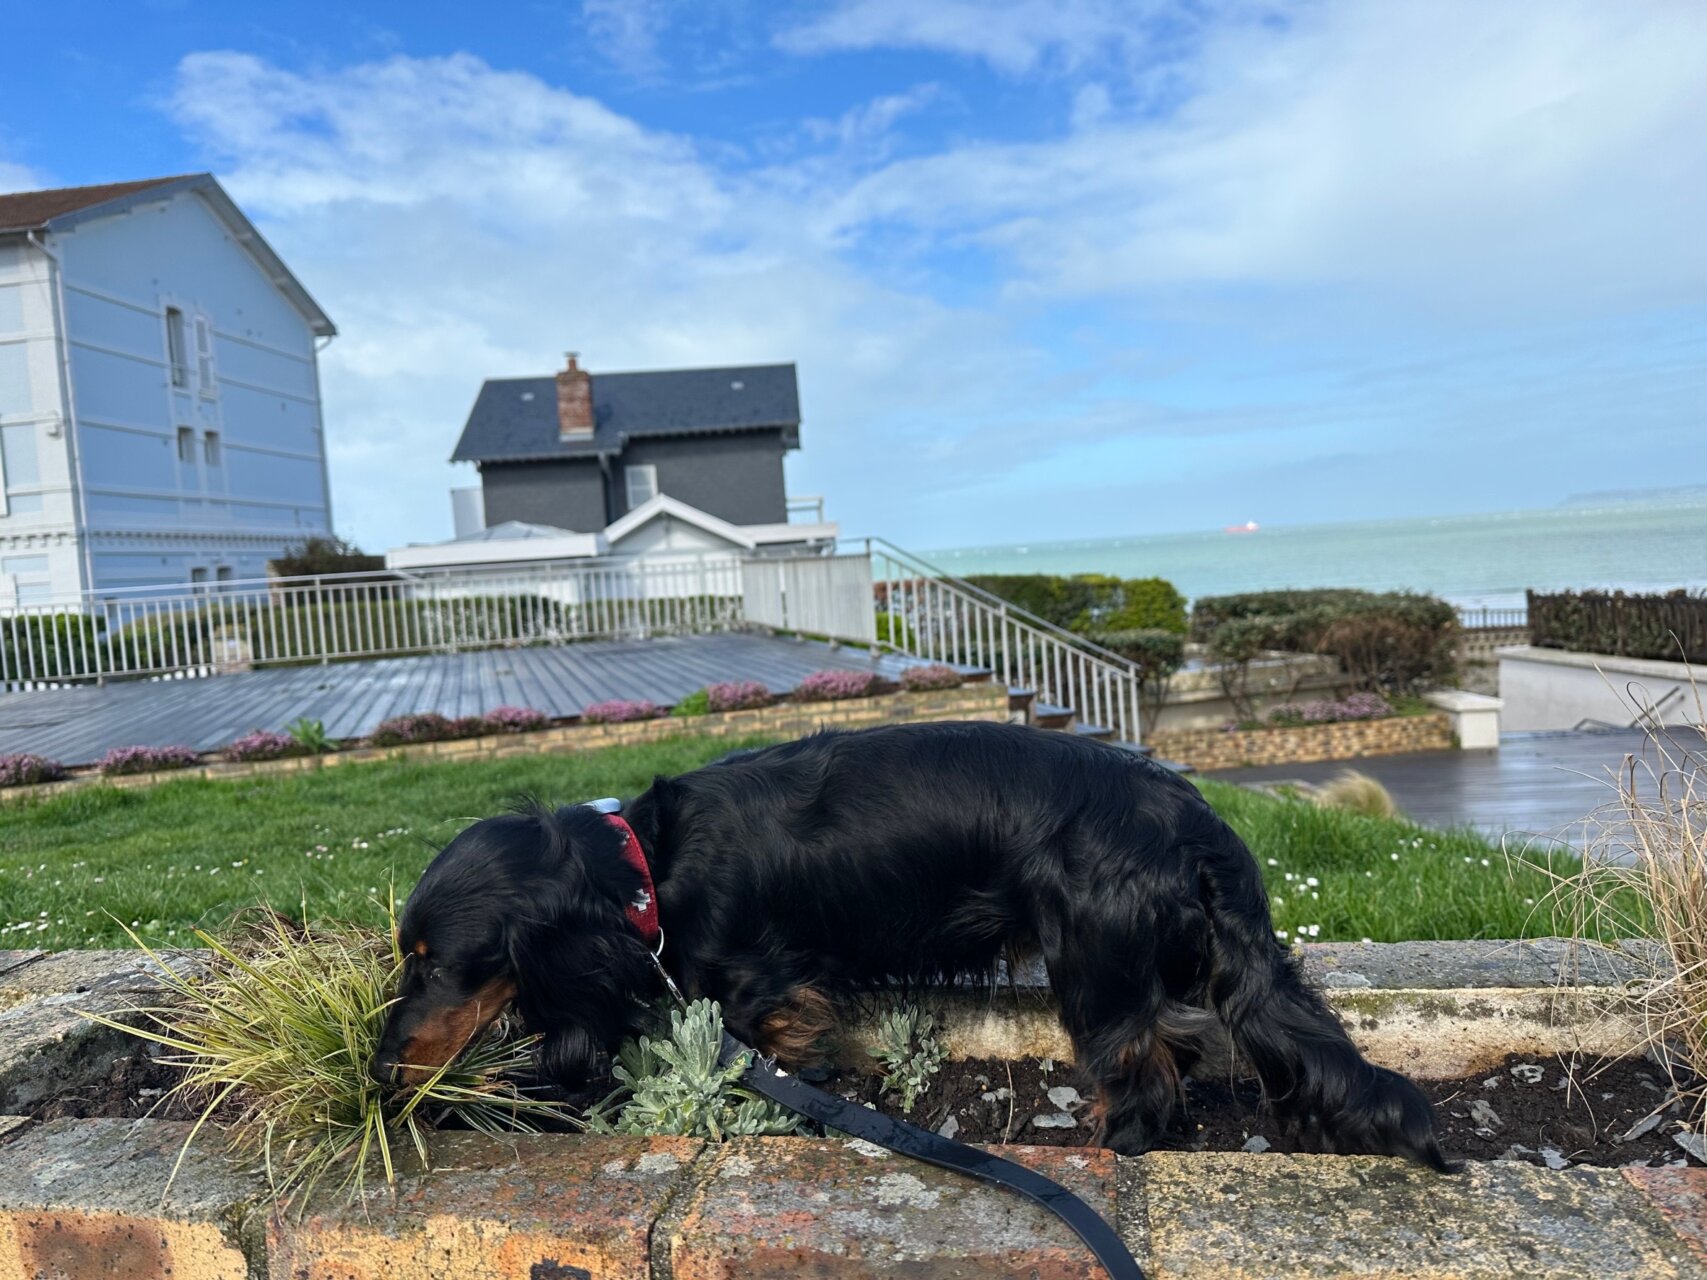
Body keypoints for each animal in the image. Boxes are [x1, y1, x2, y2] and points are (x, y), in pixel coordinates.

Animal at [373, 723, 1454, 1174]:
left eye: (433, 957)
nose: (379, 1070)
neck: (645, 869)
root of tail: (1193, 818)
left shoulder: (768, 997)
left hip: (1092, 969)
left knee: (1143, 1080)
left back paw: (1105, 1153)